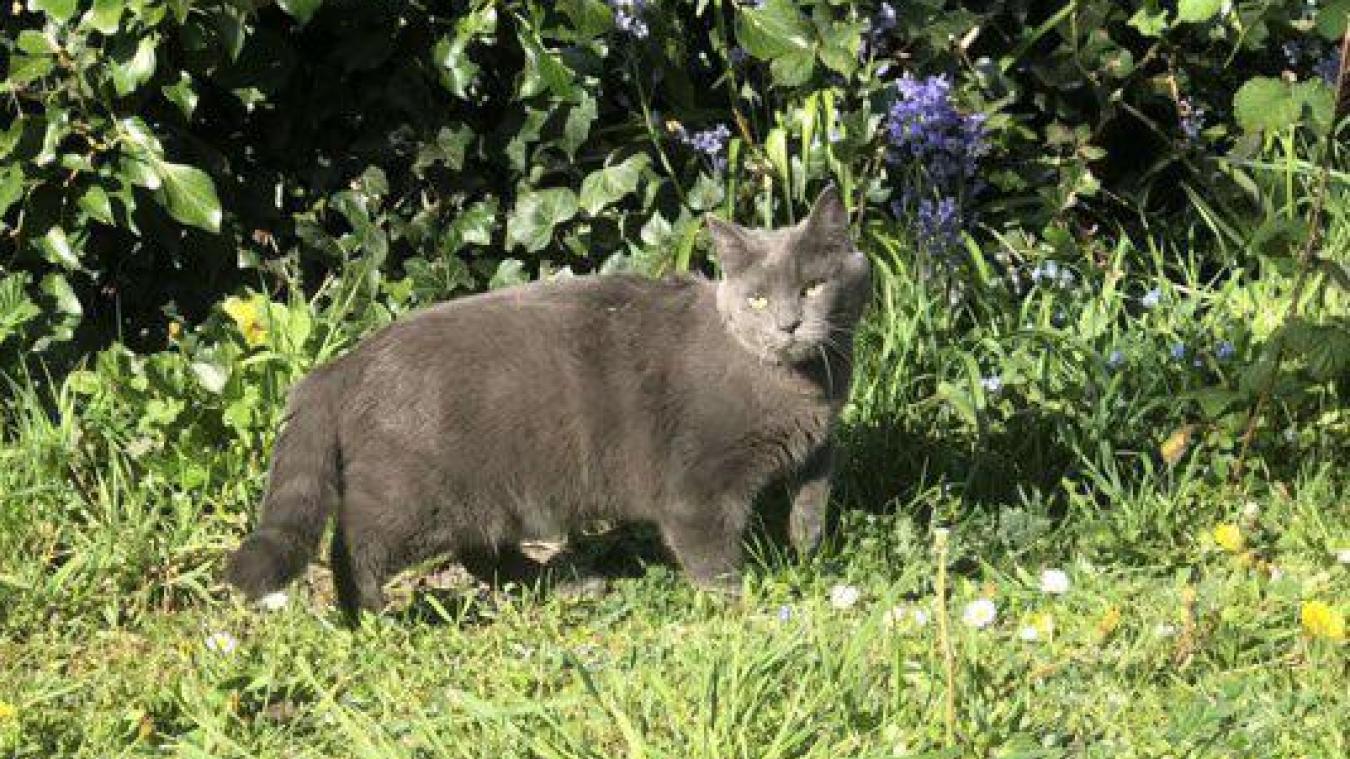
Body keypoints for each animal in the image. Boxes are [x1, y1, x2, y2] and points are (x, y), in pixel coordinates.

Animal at [225, 186, 869, 618]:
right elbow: (712, 554)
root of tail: (340, 365)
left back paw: (566, 586)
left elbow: (818, 483)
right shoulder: (697, 489)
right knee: (354, 545)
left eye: (813, 286)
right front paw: (743, 608)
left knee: (482, 554)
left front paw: (807, 544)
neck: (805, 385)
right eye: (757, 300)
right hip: (415, 496)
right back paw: (369, 618)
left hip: (489, 491)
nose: (788, 325)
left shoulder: (820, 438)